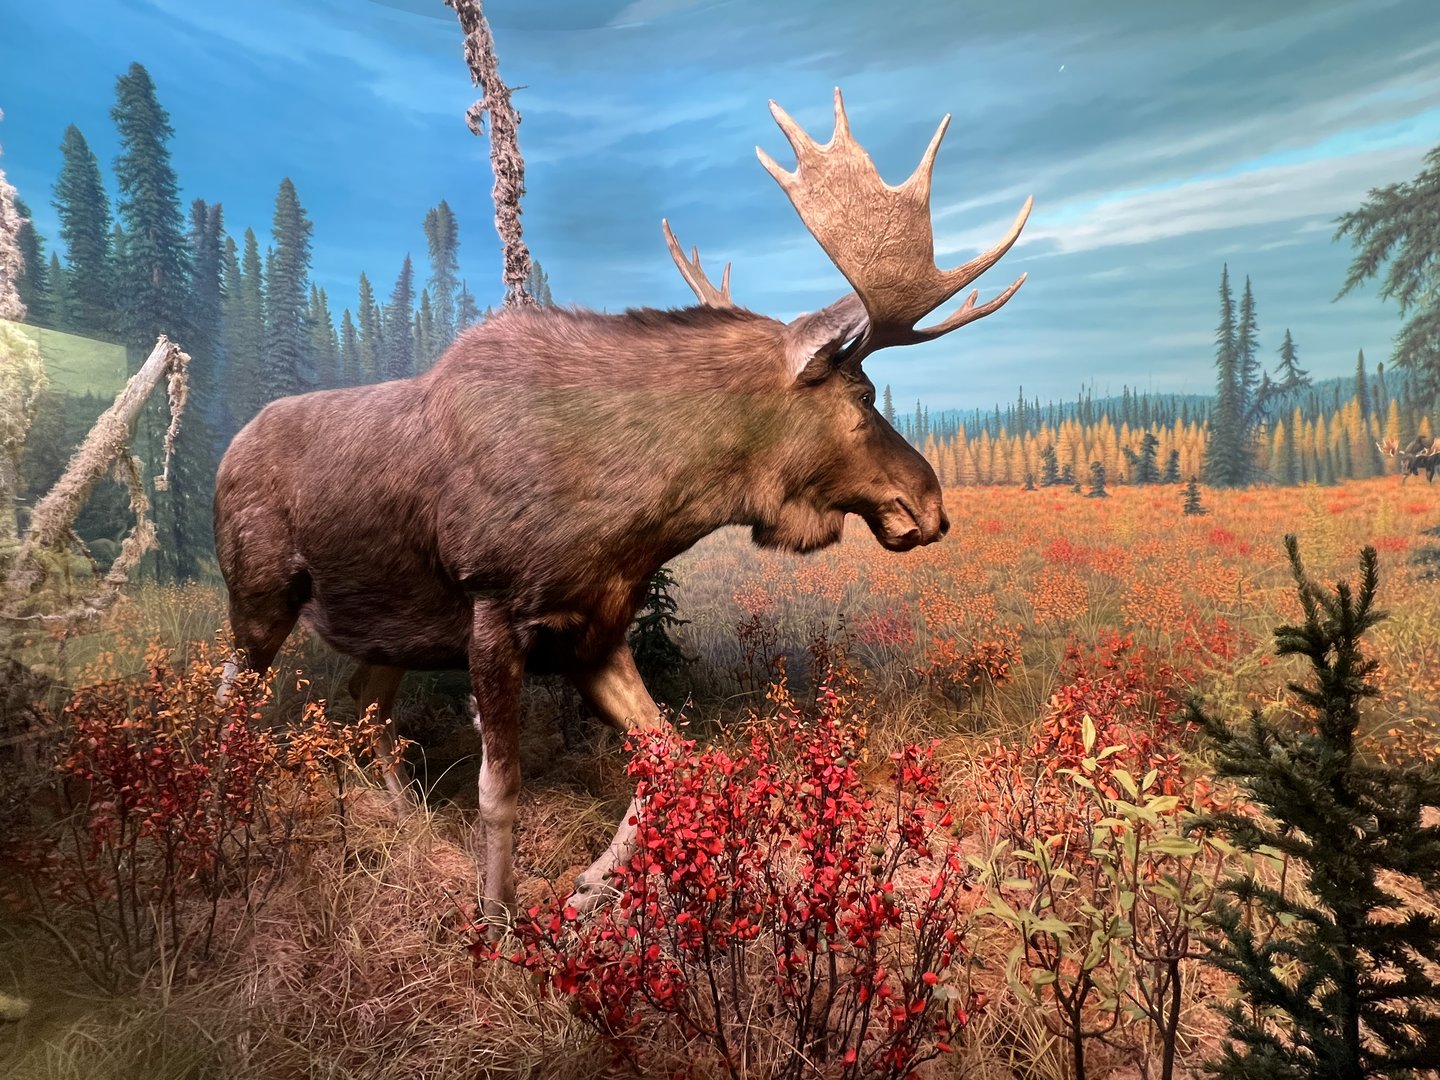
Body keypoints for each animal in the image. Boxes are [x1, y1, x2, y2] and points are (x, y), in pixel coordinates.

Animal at [213, 89, 1032, 931]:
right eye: (865, 396)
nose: (931, 504)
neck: (647, 505)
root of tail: (225, 451)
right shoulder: (494, 612)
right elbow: (500, 790)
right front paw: (497, 921)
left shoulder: (596, 629)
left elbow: (672, 755)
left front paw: (590, 885)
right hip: (260, 598)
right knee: (229, 700)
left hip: (389, 628)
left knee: (365, 703)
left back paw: (403, 814)